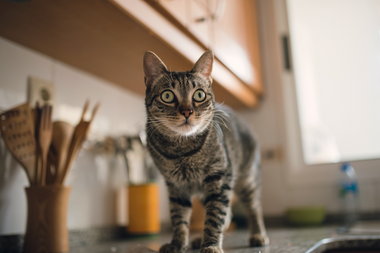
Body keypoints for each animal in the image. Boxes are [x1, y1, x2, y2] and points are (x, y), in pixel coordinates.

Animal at [143, 50, 270, 253]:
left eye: (199, 95)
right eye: (168, 96)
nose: (187, 111)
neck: (182, 151)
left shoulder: (219, 179)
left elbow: (215, 217)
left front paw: (211, 245)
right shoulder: (176, 187)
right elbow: (179, 219)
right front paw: (178, 244)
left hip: (247, 181)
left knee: (254, 208)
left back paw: (258, 234)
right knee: (229, 214)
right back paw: (198, 239)